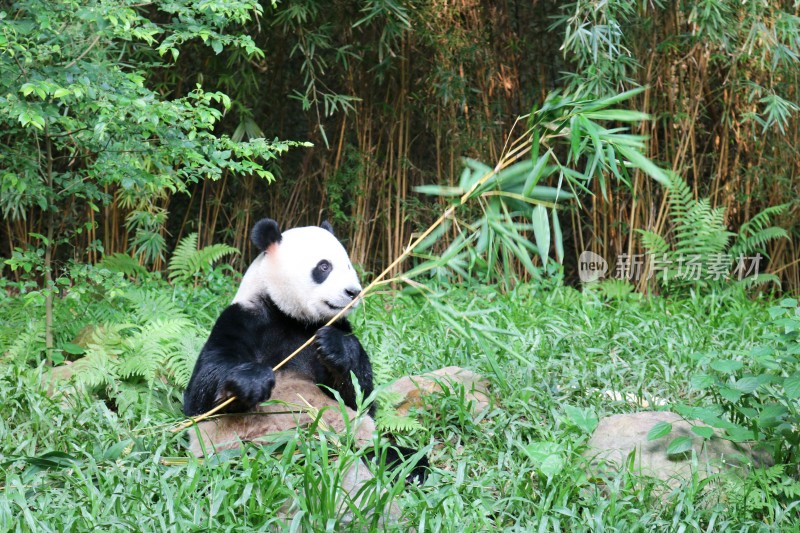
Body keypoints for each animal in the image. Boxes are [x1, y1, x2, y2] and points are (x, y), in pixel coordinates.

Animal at [184, 216, 428, 478]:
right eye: (324, 267)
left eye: (348, 266)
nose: (353, 292)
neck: (289, 316)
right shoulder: (242, 319)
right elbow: (200, 396)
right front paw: (252, 380)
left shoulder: (336, 326)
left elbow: (360, 398)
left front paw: (335, 347)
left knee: (393, 454)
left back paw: (411, 470)